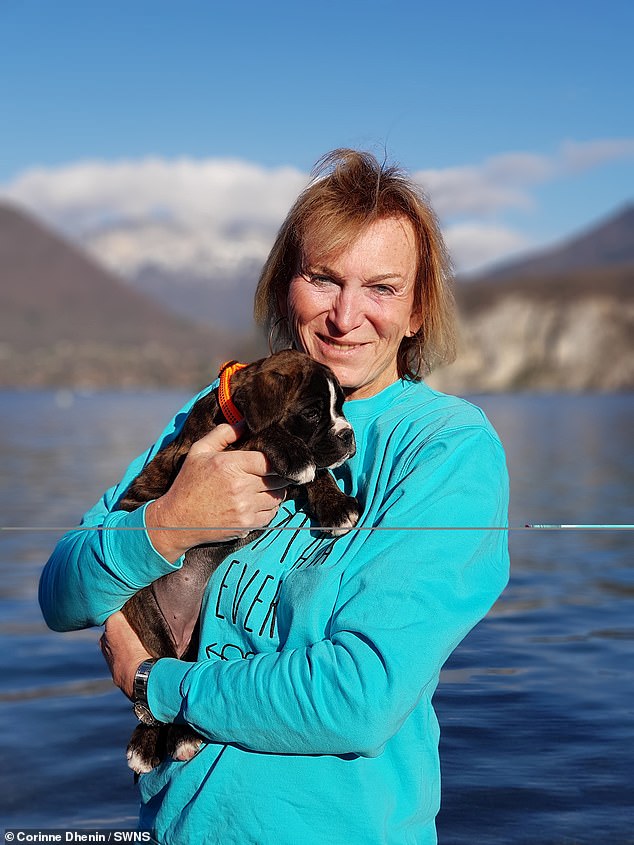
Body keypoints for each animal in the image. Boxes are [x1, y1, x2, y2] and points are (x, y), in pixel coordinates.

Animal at [116, 348, 358, 772]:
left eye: (340, 407)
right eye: (312, 413)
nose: (348, 435)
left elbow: (319, 474)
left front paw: (334, 506)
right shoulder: (192, 458)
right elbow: (258, 437)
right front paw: (293, 453)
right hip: (145, 610)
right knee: (158, 667)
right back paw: (156, 741)